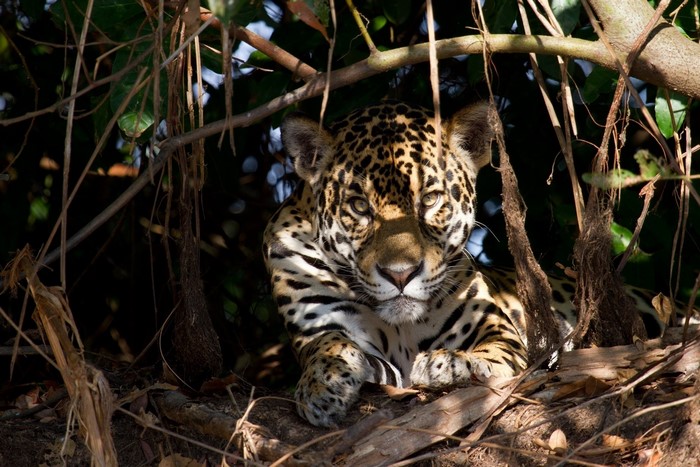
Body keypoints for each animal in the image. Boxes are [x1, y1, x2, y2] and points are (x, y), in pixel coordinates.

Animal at [262, 101, 667, 427]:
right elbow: (328, 343)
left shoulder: (493, 328)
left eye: (430, 199)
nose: (400, 275)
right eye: (359, 206)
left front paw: (448, 364)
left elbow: (492, 354)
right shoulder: (319, 319)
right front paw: (322, 386)